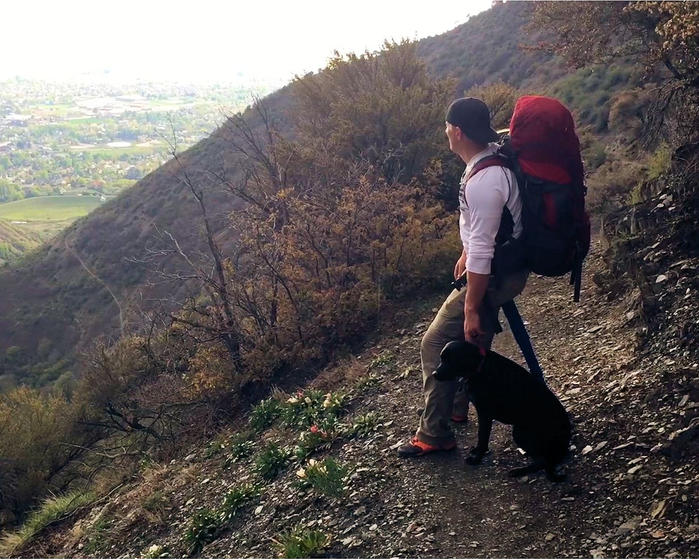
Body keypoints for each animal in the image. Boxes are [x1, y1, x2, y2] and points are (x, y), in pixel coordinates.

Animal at [434, 342, 572, 482]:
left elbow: (482, 437)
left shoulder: (484, 414)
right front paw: (477, 451)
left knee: (543, 462)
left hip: (520, 432)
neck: (480, 367)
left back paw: (519, 471)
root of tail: (566, 436)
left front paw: (477, 458)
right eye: (441, 358)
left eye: (452, 360)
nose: (434, 374)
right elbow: (481, 437)